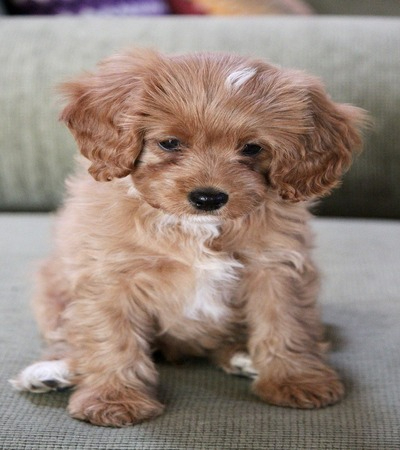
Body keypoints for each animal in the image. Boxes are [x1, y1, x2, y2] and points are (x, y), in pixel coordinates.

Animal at [10, 49, 368, 426]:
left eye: (252, 149)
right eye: (170, 143)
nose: (208, 197)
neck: (197, 227)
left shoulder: (275, 268)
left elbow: (285, 323)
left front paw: (294, 379)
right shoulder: (109, 274)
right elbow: (111, 336)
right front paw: (114, 398)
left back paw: (243, 357)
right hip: (51, 289)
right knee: (65, 335)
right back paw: (51, 370)